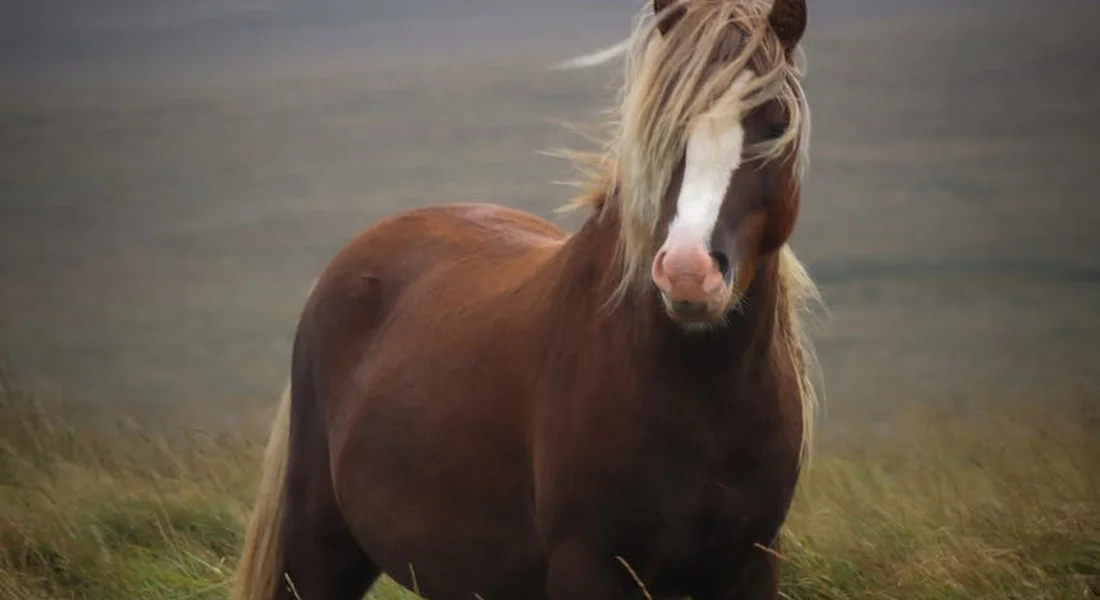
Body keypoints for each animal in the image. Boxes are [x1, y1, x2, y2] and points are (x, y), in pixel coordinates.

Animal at [231, 0, 823, 598]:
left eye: (775, 122)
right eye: (662, 122)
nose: (687, 271)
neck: (702, 393)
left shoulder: (751, 565)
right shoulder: (587, 567)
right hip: (317, 552)